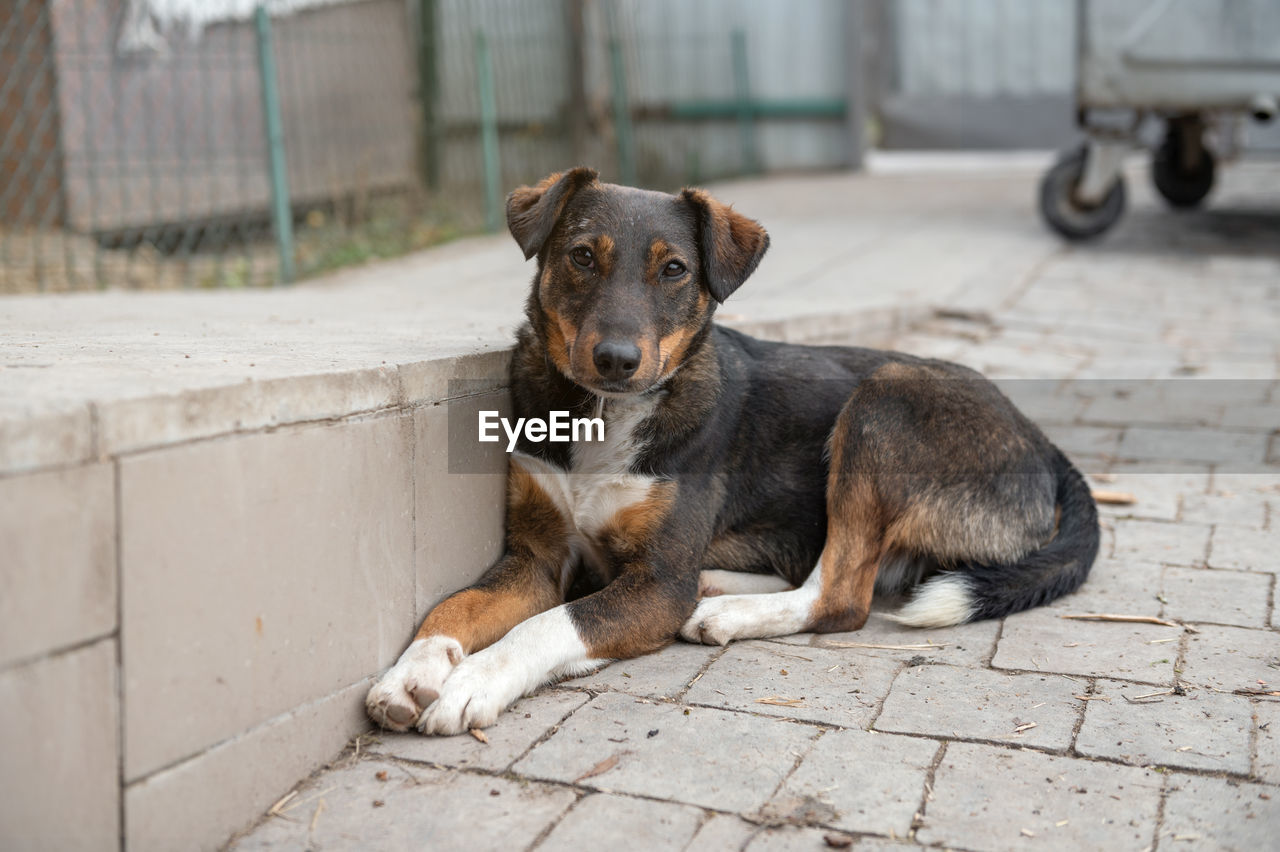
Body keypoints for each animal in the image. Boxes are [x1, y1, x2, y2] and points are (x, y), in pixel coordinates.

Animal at [363, 166, 1100, 731]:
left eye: (674, 269)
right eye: (581, 256)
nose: (616, 359)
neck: (604, 416)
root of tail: (1042, 441)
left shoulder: (658, 584)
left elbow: (549, 625)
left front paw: (472, 682)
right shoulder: (537, 557)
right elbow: (454, 605)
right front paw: (413, 671)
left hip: (883, 403)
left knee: (841, 596)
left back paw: (727, 610)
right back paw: (719, 587)